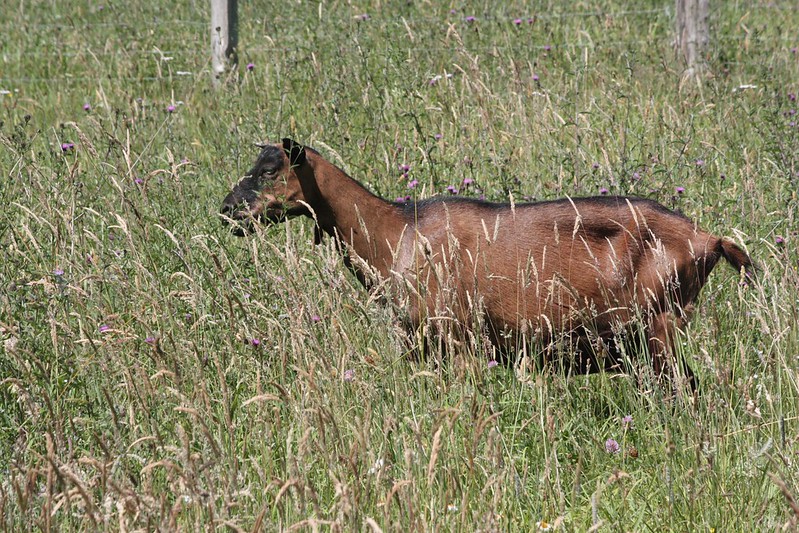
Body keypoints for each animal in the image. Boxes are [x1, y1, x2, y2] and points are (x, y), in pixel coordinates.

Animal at [221, 138, 753, 392]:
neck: (398, 234)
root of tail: (709, 239)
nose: (227, 211)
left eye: (269, 169)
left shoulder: (456, 339)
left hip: (658, 326)